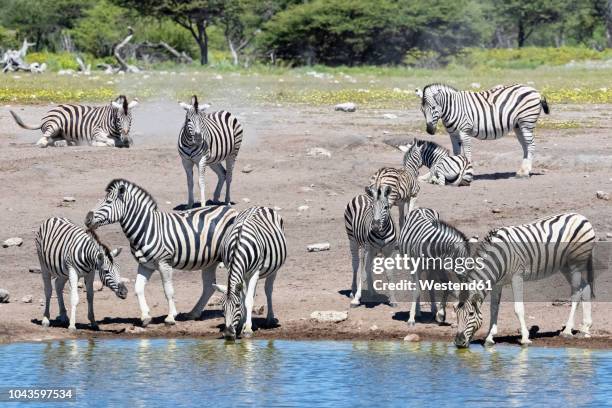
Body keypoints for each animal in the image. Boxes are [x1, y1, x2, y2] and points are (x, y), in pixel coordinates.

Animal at [10, 95, 138, 147]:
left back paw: (65, 143)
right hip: (55, 123)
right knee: (43, 139)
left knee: (55, 139)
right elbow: (110, 142)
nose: (125, 139)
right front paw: (95, 143)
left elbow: (127, 141)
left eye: (130, 120)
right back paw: (44, 143)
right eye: (118, 120)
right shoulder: (96, 132)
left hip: (60, 132)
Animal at [85, 178, 238, 326]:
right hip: (210, 261)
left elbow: (168, 291)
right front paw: (145, 316)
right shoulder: (145, 265)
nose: (87, 218)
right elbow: (138, 288)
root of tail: (231, 210)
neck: (146, 228)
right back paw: (193, 313)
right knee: (209, 287)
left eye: (108, 202)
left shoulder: (164, 263)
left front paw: (170, 317)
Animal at [210, 206, 286, 340]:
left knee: (268, 290)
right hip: (245, 275)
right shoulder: (231, 268)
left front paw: (247, 329)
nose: (228, 334)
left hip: (274, 269)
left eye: (236, 306)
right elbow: (244, 298)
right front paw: (242, 324)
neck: (238, 246)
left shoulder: (255, 272)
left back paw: (269, 319)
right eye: (222, 308)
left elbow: (248, 300)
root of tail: (260, 206)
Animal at [416, 83, 548, 177]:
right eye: (422, 110)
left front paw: (467, 172)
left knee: (531, 145)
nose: (429, 130)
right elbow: (456, 153)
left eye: (434, 108)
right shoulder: (453, 134)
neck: (452, 108)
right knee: (525, 146)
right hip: (518, 126)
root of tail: (536, 91)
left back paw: (525, 173)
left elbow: (467, 152)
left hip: (527, 122)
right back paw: (522, 170)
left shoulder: (464, 131)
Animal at [456, 212, 596, 350]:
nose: (458, 342)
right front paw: (489, 337)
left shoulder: (517, 276)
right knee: (586, 287)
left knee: (576, 293)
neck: (497, 258)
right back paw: (586, 328)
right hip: (565, 266)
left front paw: (525, 338)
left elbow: (518, 308)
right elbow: (494, 308)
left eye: (470, 314)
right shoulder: (497, 283)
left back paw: (567, 330)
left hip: (576, 263)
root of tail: (580, 216)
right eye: (456, 314)